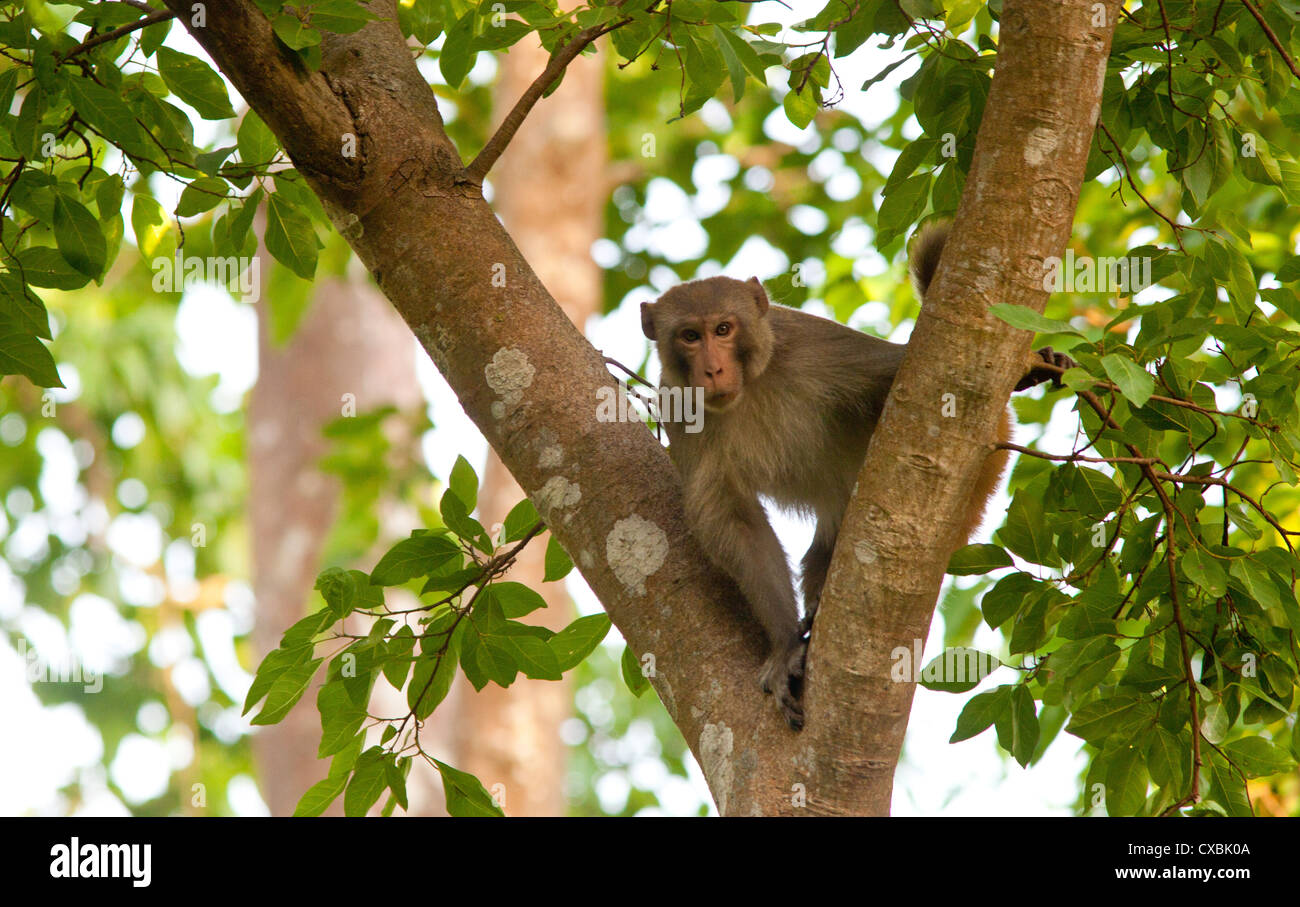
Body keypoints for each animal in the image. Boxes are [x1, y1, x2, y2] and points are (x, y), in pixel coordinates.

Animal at [639, 222, 1076, 732]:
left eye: (723, 329)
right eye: (690, 335)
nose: (712, 368)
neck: (753, 383)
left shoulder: (813, 345)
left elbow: (903, 377)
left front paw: (1031, 365)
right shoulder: (678, 407)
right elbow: (731, 519)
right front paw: (785, 646)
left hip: (988, 457)